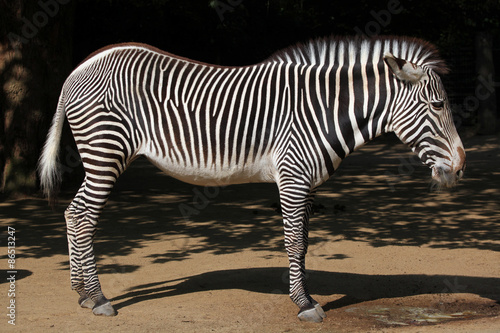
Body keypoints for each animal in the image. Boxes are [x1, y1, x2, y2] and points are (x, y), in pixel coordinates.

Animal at [38, 36, 464, 322]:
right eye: (438, 105)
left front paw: (304, 295)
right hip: (106, 152)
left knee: (74, 216)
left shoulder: (305, 182)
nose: (461, 166)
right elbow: (294, 241)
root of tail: (80, 67)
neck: (323, 110)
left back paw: (82, 292)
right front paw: (305, 305)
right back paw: (97, 297)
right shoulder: (292, 177)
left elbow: (304, 243)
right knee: (81, 217)